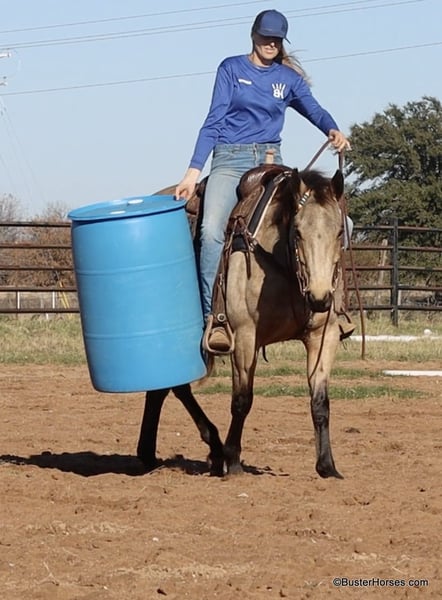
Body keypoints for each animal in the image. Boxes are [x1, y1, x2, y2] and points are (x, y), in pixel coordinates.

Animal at [137, 165, 345, 479]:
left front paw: (327, 467)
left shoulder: (324, 335)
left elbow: (320, 402)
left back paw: (153, 454)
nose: (320, 298)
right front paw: (234, 461)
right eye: (297, 232)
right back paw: (212, 449)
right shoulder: (245, 336)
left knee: (163, 388)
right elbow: (242, 400)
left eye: (340, 231)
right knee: (175, 387)